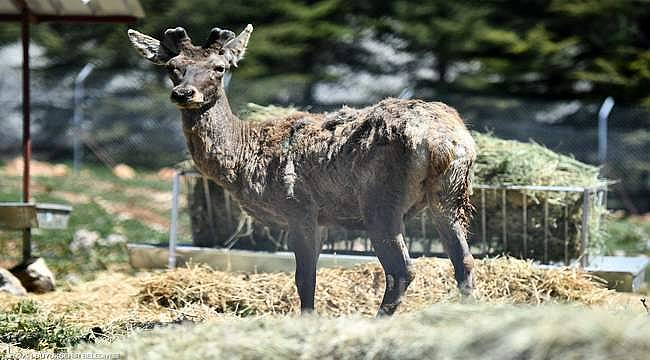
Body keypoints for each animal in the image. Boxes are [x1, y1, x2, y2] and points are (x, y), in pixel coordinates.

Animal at [128, 23, 476, 316]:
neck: (243, 158)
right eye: (173, 68)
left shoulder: (298, 209)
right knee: (464, 260)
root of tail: (445, 142)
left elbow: (304, 278)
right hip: (451, 194)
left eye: (219, 68)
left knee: (402, 269)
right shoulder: (320, 218)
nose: (184, 93)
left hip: (382, 200)